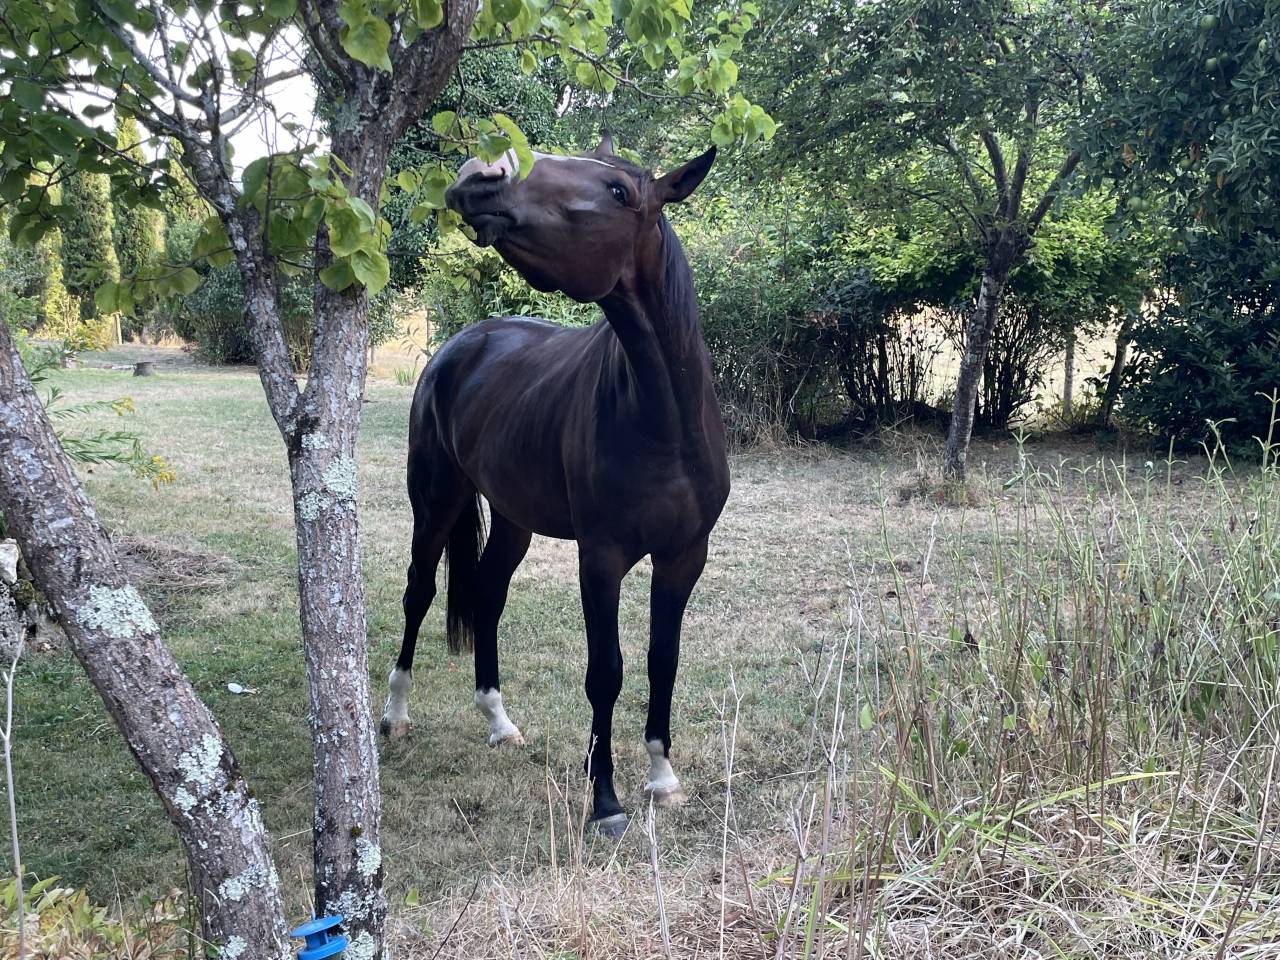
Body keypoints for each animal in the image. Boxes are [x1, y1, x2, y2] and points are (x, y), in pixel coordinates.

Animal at [379, 133, 730, 836]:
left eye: (619, 191)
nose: (479, 175)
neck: (665, 420)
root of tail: (461, 341)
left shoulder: (685, 557)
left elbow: (663, 661)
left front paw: (662, 777)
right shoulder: (601, 558)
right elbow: (607, 672)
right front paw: (606, 803)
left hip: (513, 518)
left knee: (486, 593)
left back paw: (498, 721)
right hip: (436, 501)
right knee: (419, 593)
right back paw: (395, 715)